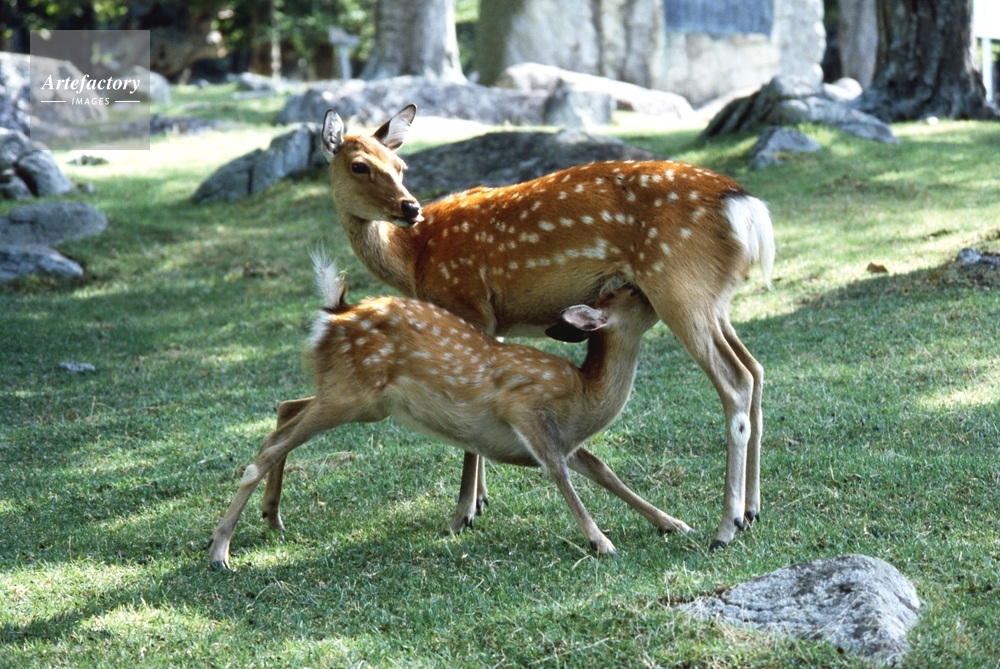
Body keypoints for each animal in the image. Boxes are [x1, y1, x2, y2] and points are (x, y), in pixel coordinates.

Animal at [208, 254, 691, 570]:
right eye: (631, 290)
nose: (659, 288)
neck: (583, 396)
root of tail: (333, 312)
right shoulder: (524, 408)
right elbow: (558, 472)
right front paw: (600, 540)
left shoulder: (566, 439)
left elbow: (605, 469)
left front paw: (672, 523)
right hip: (353, 394)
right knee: (269, 446)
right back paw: (220, 551)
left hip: (356, 398)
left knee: (285, 408)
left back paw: (272, 517)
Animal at [296, 104, 773, 550]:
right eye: (360, 165)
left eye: (400, 166)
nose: (409, 207)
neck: (415, 260)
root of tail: (747, 209)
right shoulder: (493, 321)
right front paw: (481, 500)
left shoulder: (467, 301)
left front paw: (461, 515)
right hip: (712, 299)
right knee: (755, 368)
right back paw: (751, 511)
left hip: (676, 283)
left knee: (734, 381)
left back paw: (725, 527)